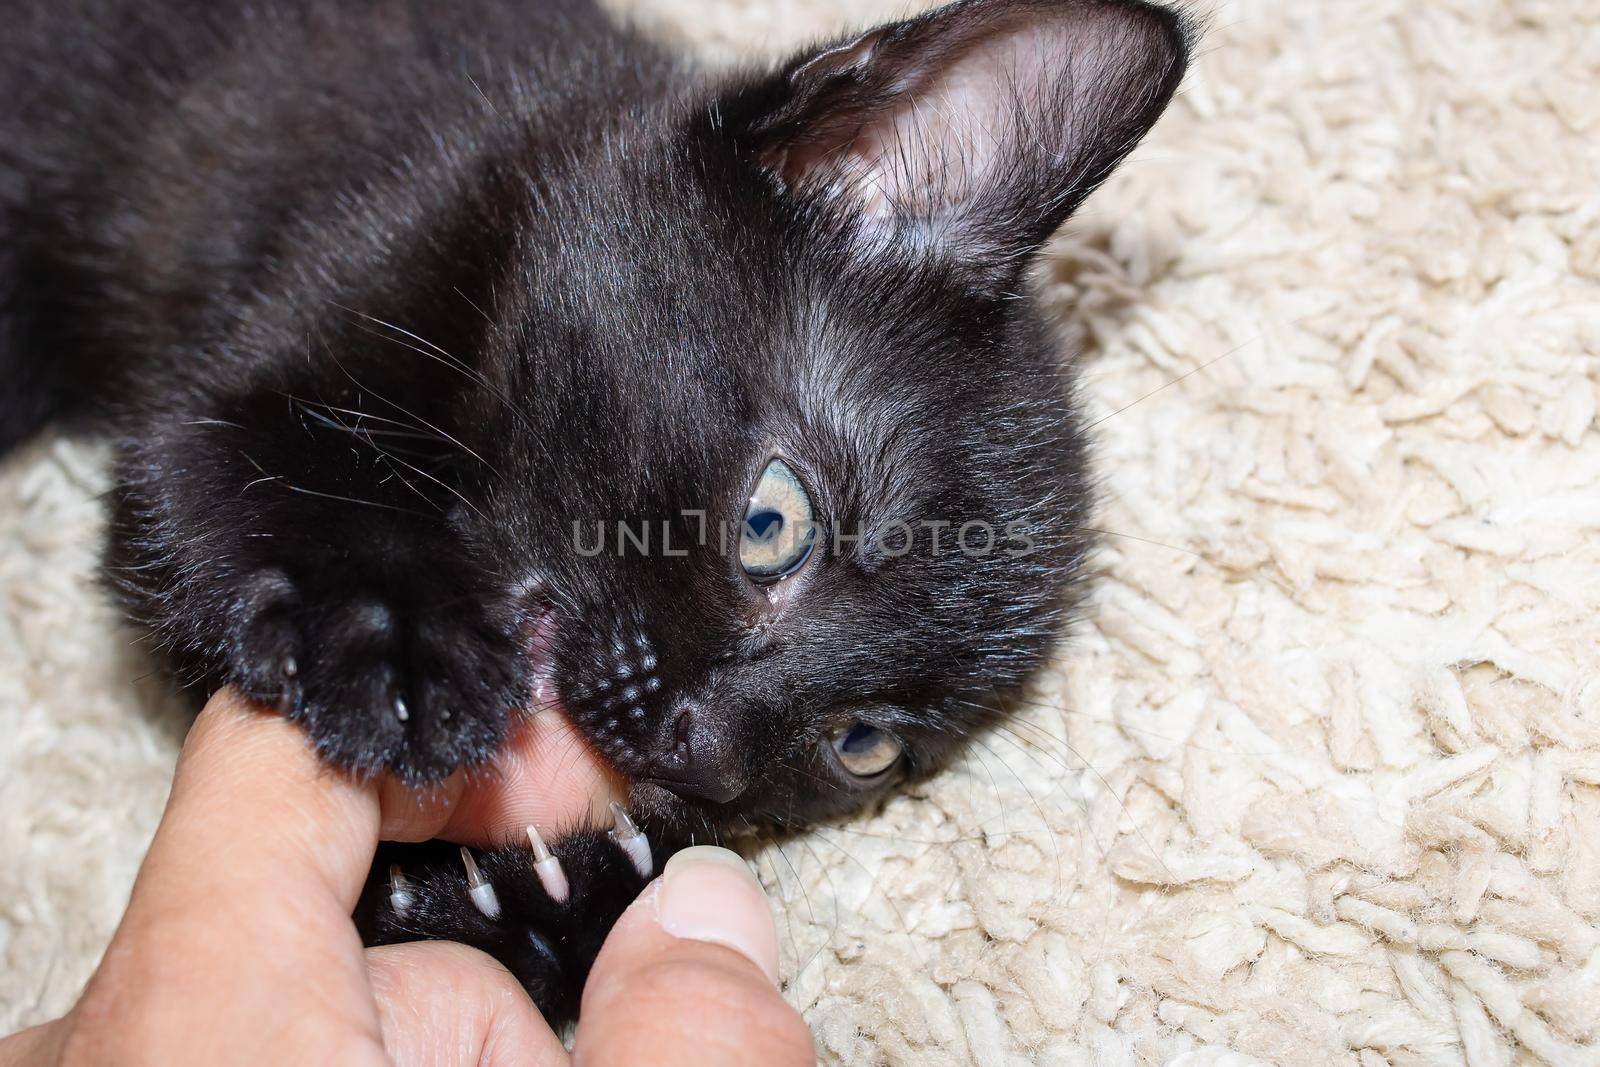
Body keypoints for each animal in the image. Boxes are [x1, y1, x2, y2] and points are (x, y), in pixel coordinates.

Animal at [0, 0, 1190, 1023]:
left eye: (865, 745)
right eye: (775, 524)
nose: (705, 755)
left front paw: (543, 901)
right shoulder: (245, 374)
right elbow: (237, 502)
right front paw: (393, 641)